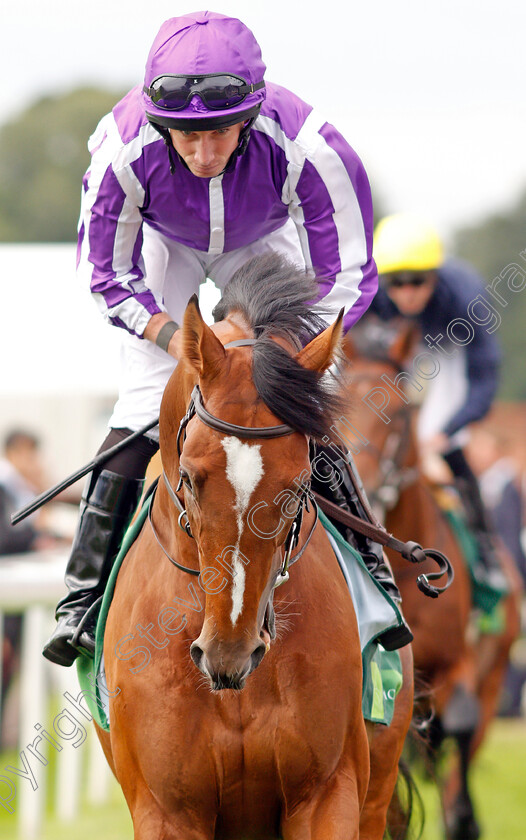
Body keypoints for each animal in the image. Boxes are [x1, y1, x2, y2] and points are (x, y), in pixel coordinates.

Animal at [342, 324, 524, 840]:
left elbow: (456, 723)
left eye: (401, 412)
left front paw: (461, 816)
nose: (361, 490)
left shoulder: (458, 663)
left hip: (495, 672)